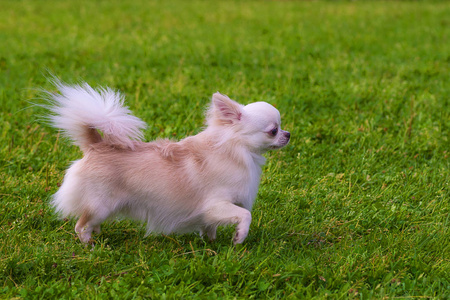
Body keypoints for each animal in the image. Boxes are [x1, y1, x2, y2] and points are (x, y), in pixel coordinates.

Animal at [45, 80, 290, 244]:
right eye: (273, 130)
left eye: (281, 128)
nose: (288, 134)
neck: (237, 150)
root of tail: (96, 145)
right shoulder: (216, 204)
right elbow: (245, 215)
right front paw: (239, 237)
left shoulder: (212, 213)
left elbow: (210, 227)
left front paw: (211, 243)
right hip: (100, 205)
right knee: (80, 225)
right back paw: (90, 246)